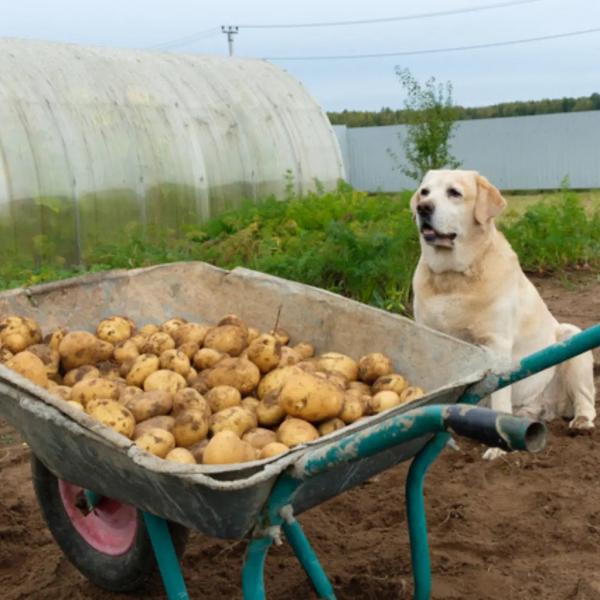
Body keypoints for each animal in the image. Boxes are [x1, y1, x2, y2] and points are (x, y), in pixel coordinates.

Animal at [412, 169, 596, 460]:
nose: (423, 208)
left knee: (586, 399)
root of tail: (550, 407)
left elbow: (497, 393)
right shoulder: (430, 339)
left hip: (572, 337)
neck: (451, 279)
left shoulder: (496, 344)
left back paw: (581, 422)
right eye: (424, 192)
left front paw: (497, 448)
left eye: (454, 193)